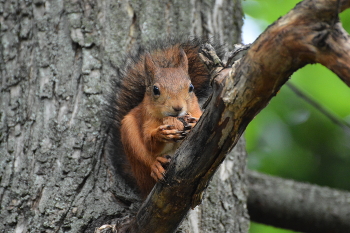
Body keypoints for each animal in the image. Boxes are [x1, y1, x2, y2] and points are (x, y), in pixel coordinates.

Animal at [105, 38, 217, 198]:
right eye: (156, 90)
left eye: (191, 87)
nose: (178, 107)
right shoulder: (147, 119)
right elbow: (148, 141)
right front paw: (161, 134)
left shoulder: (197, 111)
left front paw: (193, 123)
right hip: (129, 134)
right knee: (144, 156)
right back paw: (156, 166)